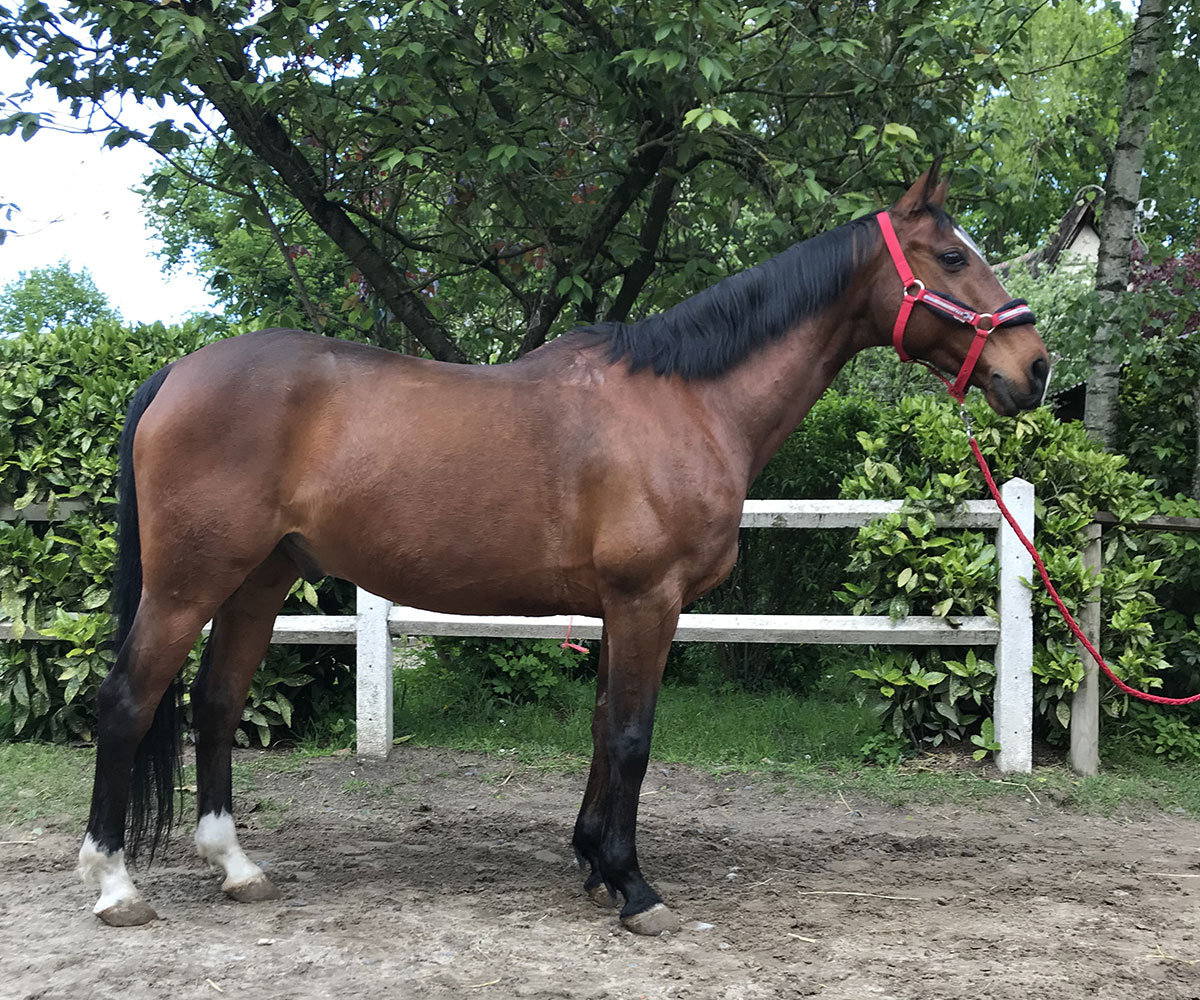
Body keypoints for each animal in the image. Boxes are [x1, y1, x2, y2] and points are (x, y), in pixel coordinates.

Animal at [79, 163, 1046, 936]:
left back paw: (236, 867)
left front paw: (591, 863)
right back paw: (116, 884)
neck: (688, 399)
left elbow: (600, 726)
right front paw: (633, 887)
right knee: (128, 700)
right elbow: (630, 735)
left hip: (258, 579)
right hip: (188, 583)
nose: (1034, 367)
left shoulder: (621, 607)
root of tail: (177, 372)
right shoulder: (649, 599)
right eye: (951, 257)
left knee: (213, 702)